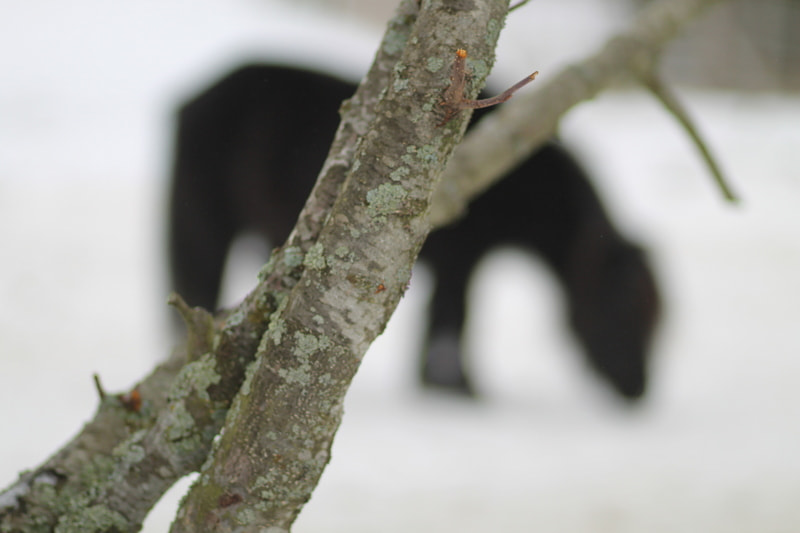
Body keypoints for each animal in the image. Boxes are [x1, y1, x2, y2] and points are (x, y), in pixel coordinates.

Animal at [166, 64, 660, 400]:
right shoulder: (463, 258)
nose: (639, 391)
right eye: (622, 308)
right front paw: (456, 388)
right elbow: (452, 318)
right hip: (204, 224)